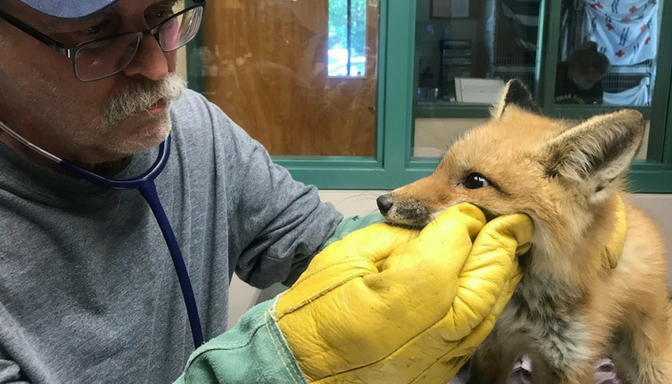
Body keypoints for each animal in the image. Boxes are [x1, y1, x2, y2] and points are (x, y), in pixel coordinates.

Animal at [378, 79, 672, 382]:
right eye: (439, 168)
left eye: (475, 181)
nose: (382, 202)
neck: (525, 301)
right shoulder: (493, 345)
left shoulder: (568, 363)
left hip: (650, 366)